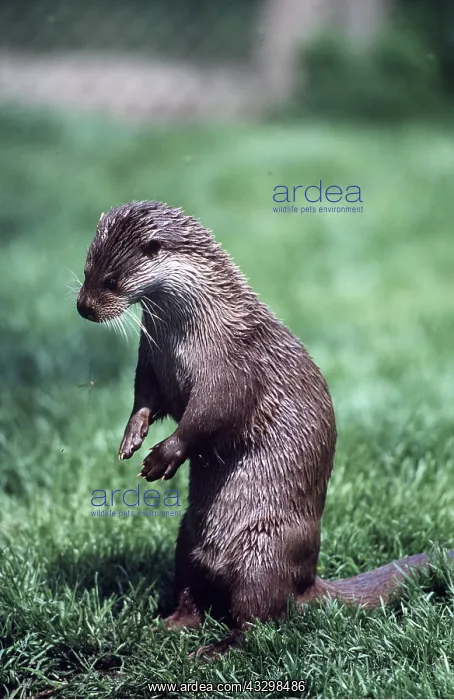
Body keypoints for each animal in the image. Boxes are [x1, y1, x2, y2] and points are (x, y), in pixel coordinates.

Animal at [77, 200, 453, 657]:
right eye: (86, 269)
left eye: (111, 280)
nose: (82, 307)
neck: (190, 336)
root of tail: (305, 582)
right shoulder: (151, 360)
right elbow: (146, 400)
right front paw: (131, 438)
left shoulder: (231, 369)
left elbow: (208, 416)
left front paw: (163, 457)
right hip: (186, 540)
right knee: (192, 595)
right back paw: (166, 626)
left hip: (264, 552)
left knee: (259, 621)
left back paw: (214, 651)